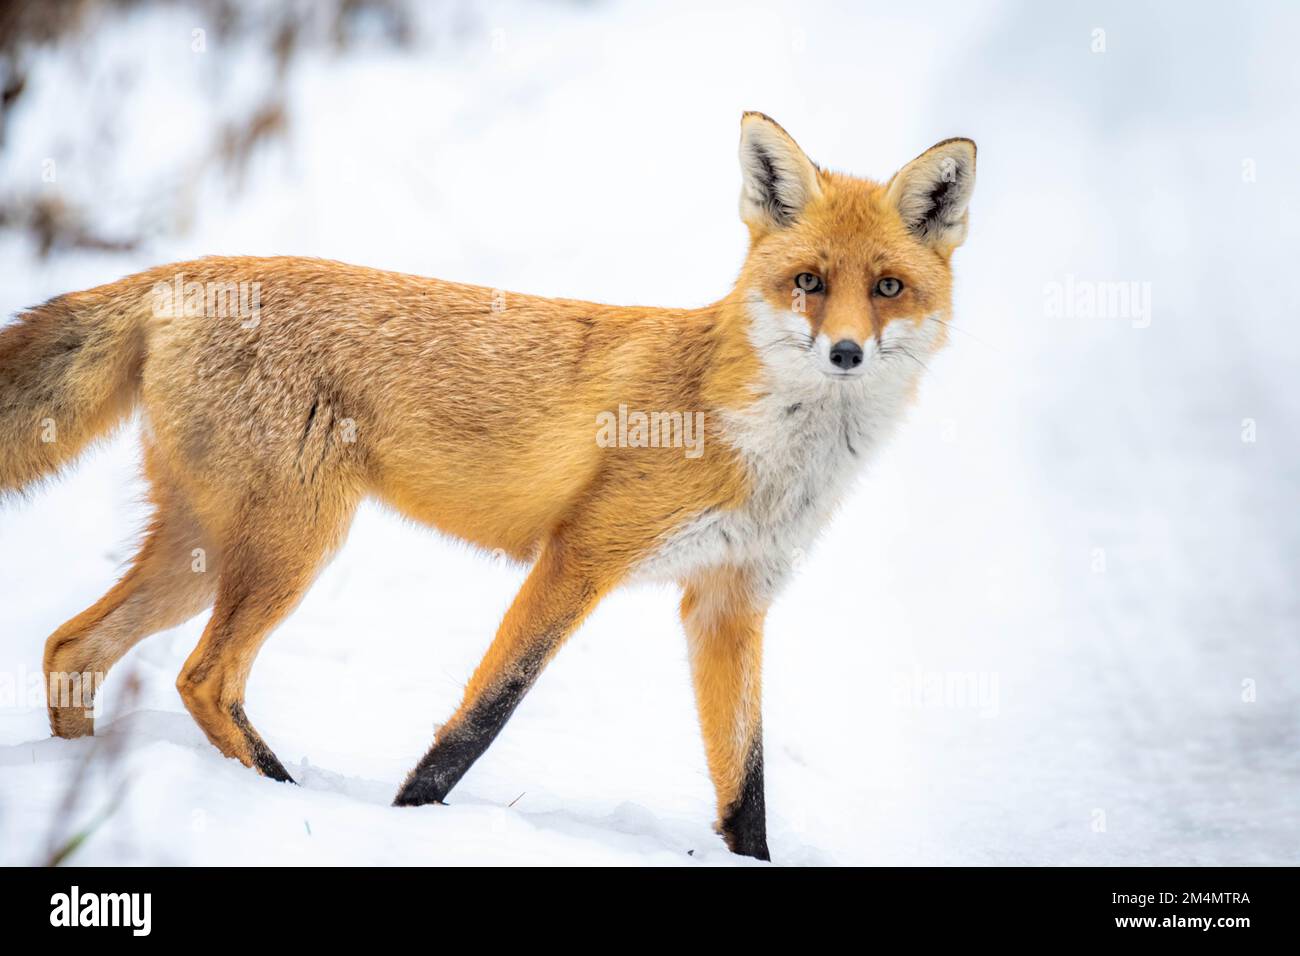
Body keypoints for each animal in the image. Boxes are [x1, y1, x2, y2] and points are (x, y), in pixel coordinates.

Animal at [0, 113, 974, 861]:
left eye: (888, 287)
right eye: (808, 281)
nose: (845, 353)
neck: (762, 444)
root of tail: (182, 273)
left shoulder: (729, 602)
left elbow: (747, 786)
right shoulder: (580, 556)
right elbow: (485, 715)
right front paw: (408, 821)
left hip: (206, 549)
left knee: (72, 649)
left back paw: (76, 787)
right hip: (291, 546)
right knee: (202, 679)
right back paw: (283, 799)